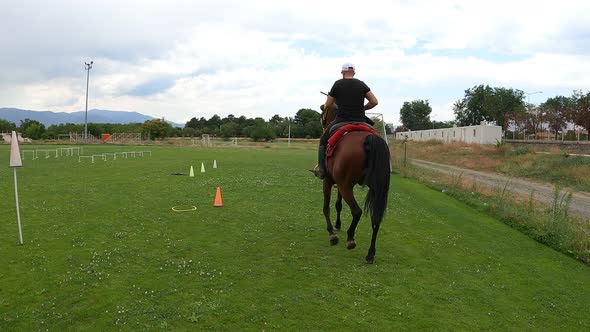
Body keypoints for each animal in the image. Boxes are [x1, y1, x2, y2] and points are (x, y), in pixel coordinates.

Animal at [322, 105, 390, 264]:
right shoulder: (339, 183)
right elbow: (338, 204)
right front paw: (338, 224)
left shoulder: (328, 181)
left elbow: (326, 207)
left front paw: (332, 233)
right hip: (375, 189)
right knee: (376, 216)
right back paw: (370, 254)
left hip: (345, 186)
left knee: (357, 211)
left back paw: (350, 239)